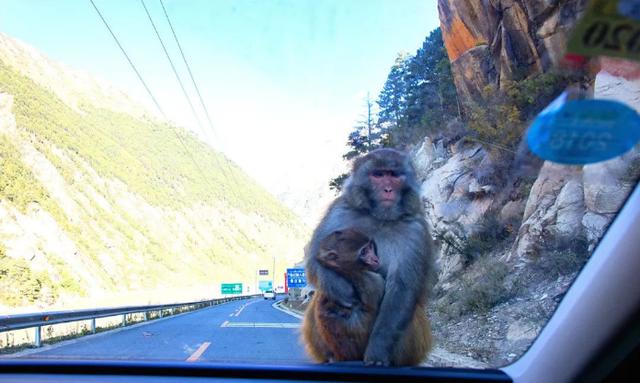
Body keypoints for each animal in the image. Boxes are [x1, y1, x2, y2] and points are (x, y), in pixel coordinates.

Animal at [304, 148, 436, 366]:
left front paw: (377, 351)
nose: (388, 189)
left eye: (393, 175)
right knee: (322, 294)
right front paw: (345, 292)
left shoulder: (415, 230)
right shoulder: (339, 210)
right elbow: (316, 260)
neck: (380, 217)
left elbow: (401, 288)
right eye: (378, 175)